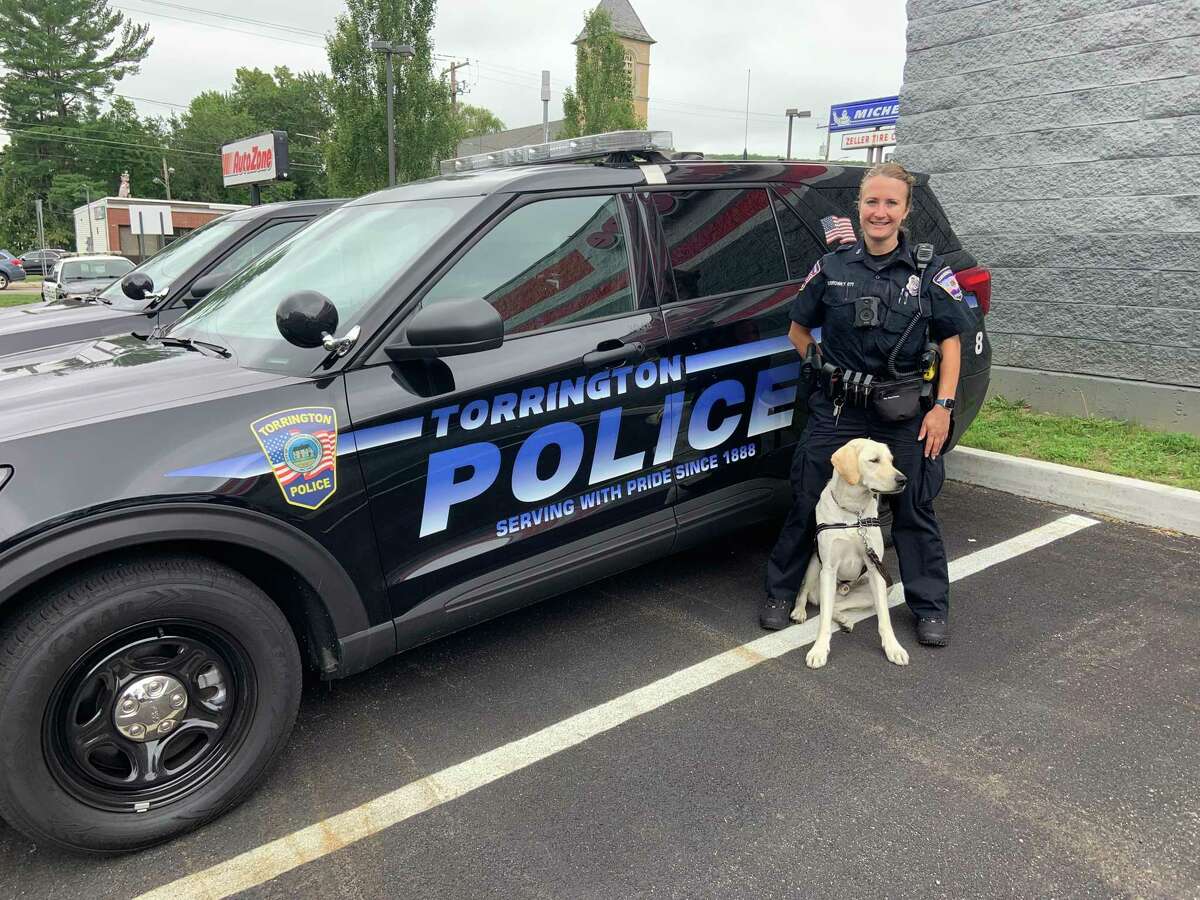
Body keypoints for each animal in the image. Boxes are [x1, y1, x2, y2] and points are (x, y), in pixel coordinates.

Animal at [796, 436, 907, 672]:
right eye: (874, 460)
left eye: (891, 460)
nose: (903, 480)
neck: (853, 512)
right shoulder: (828, 568)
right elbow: (823, 620)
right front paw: (819, 650)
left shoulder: (875, 568)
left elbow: (884, 619)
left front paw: (893, 648)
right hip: (814, 567)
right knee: (810, 597)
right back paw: (799, 611)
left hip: (883, 587)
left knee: (834, 606)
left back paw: (844, 620)